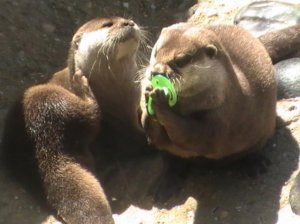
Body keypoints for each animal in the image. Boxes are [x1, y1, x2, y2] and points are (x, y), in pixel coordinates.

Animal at [1, 16, 144, 223]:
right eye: (107, 24)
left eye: (126, 19)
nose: (129, 23)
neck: (117, 94)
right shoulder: (120, 124)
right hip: (49, 99)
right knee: (88, 114)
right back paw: (81, 86)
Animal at [140, 22, 276, 159]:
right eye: (156, 53)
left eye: (181, 61)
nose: (156, 72)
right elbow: (153, 135)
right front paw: (148, 94)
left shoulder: (224, 115)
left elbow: (196, 137)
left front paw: (160, 104)